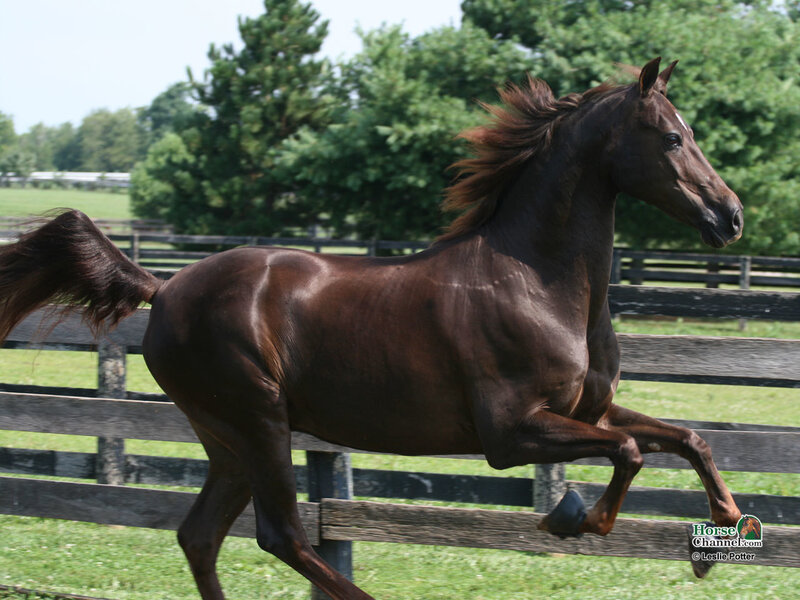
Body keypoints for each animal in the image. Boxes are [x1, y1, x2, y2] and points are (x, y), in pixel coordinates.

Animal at [0, 58, 744, 599]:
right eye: (673, 137)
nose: (730, 216)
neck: (537, 281)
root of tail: (165, 287)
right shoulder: (510, 432)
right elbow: (631, 451)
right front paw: (574, 517)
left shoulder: (587, 409)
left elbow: (687, 438)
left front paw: (722, 535)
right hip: (257, 420)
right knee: (282, 535)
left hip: (228, 439)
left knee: (201, 535)